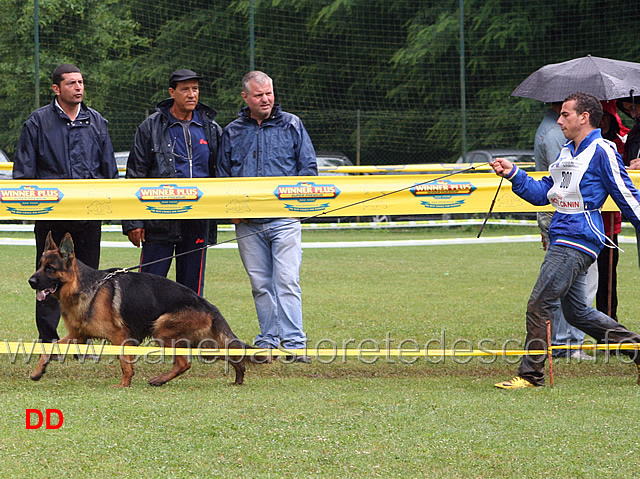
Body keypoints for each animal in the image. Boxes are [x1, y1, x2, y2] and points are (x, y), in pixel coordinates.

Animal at [28, 232, 255, 386]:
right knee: (231, 354)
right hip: (202, 342)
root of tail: (207, 304)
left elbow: (124, 362)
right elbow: (49, 348)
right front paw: (38, 371)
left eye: (50, 269)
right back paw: (239, 377)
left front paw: (124, 384)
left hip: (162, 328)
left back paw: (160, 380)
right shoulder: (79, 335)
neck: (84, 286)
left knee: (184, 363)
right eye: (39, 265)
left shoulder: (120, 336)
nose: (30, 281)